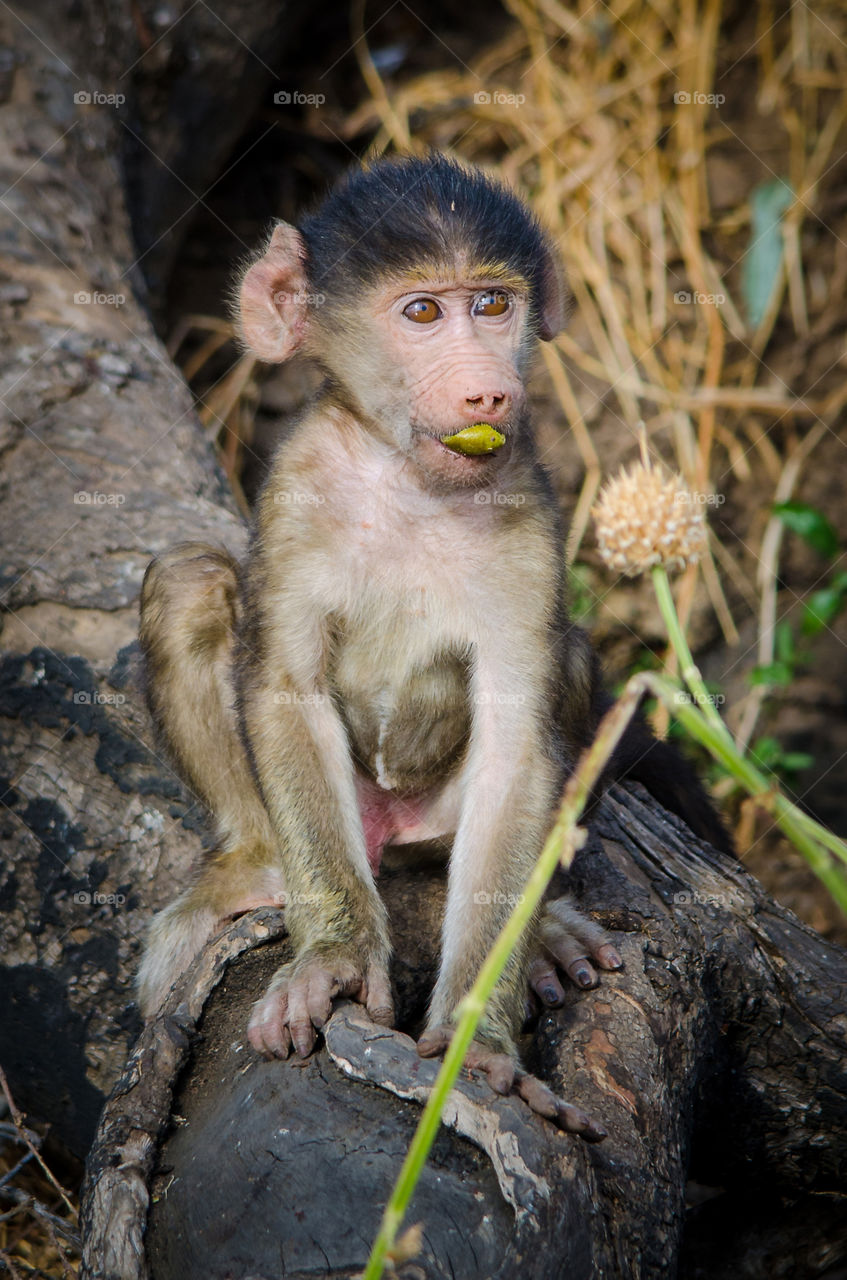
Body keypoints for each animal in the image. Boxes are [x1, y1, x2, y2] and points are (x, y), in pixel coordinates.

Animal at [137, 153, 729, 1135]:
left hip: (430, 824)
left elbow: (515, 746)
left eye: (491, 305)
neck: (411, 482)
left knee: (565, 671)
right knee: (189, 580)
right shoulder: (297, 484)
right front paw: (334, 958)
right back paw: (258, 864)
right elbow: (285, 689)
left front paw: (473, 1043)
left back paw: (543, 929)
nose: (486, 387)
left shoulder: (528, 510)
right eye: (421, 313)